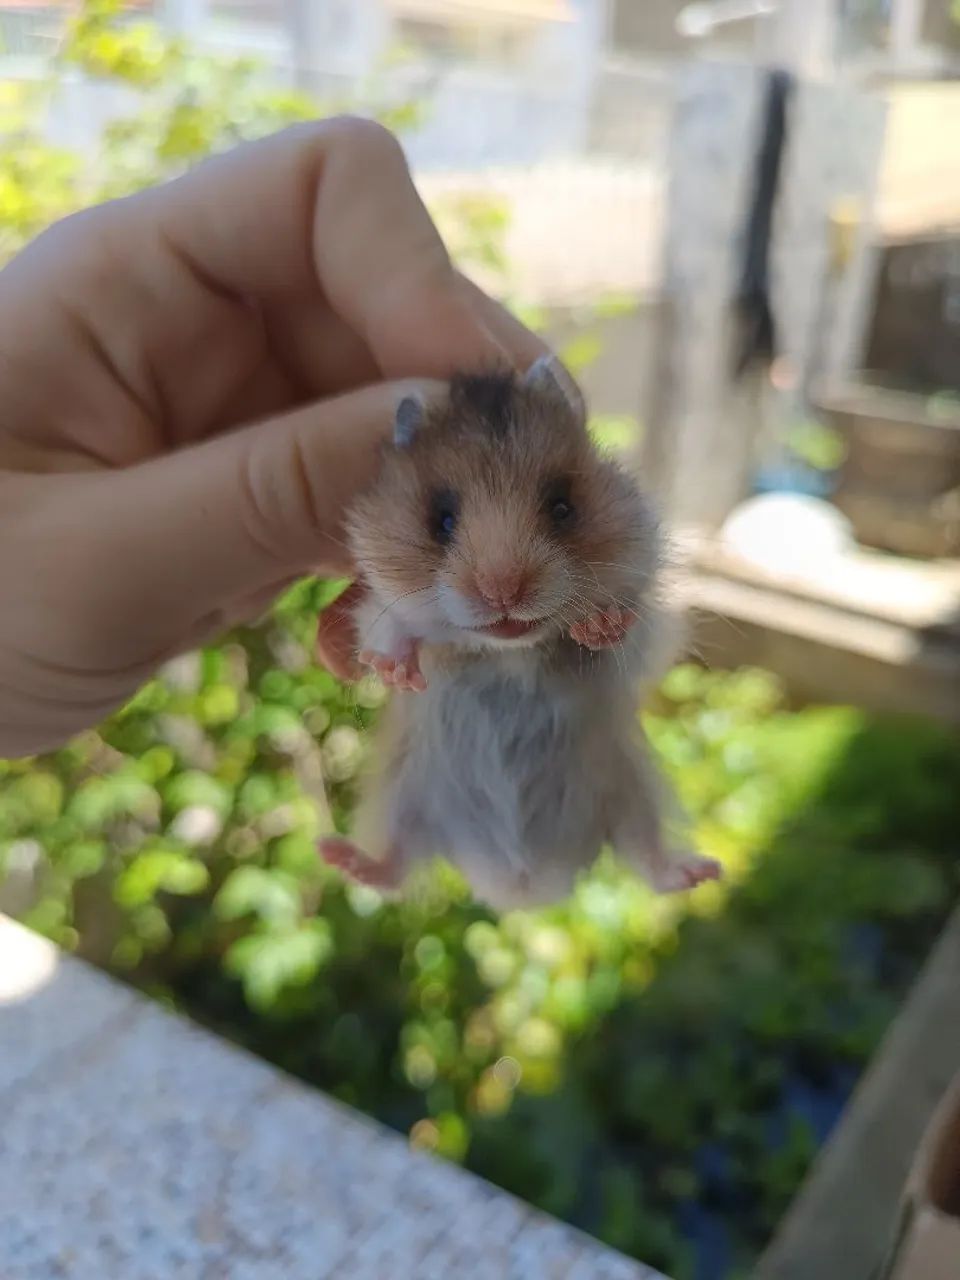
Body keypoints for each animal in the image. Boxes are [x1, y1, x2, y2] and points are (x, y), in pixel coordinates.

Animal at [319, 356, 721, 911]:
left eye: (562, 507)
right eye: (441, 520)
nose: (503, 592)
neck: (507, 650)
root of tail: (523, 887)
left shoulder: (648, 610)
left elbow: (630, 619)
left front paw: (598, 625)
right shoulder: (378, 603)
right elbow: (389, 627)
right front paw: (398, 672)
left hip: (633, 789)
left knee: (648, 855)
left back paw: (703, 872)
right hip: (405, 795)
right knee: (394, 866)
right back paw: (337, 855)